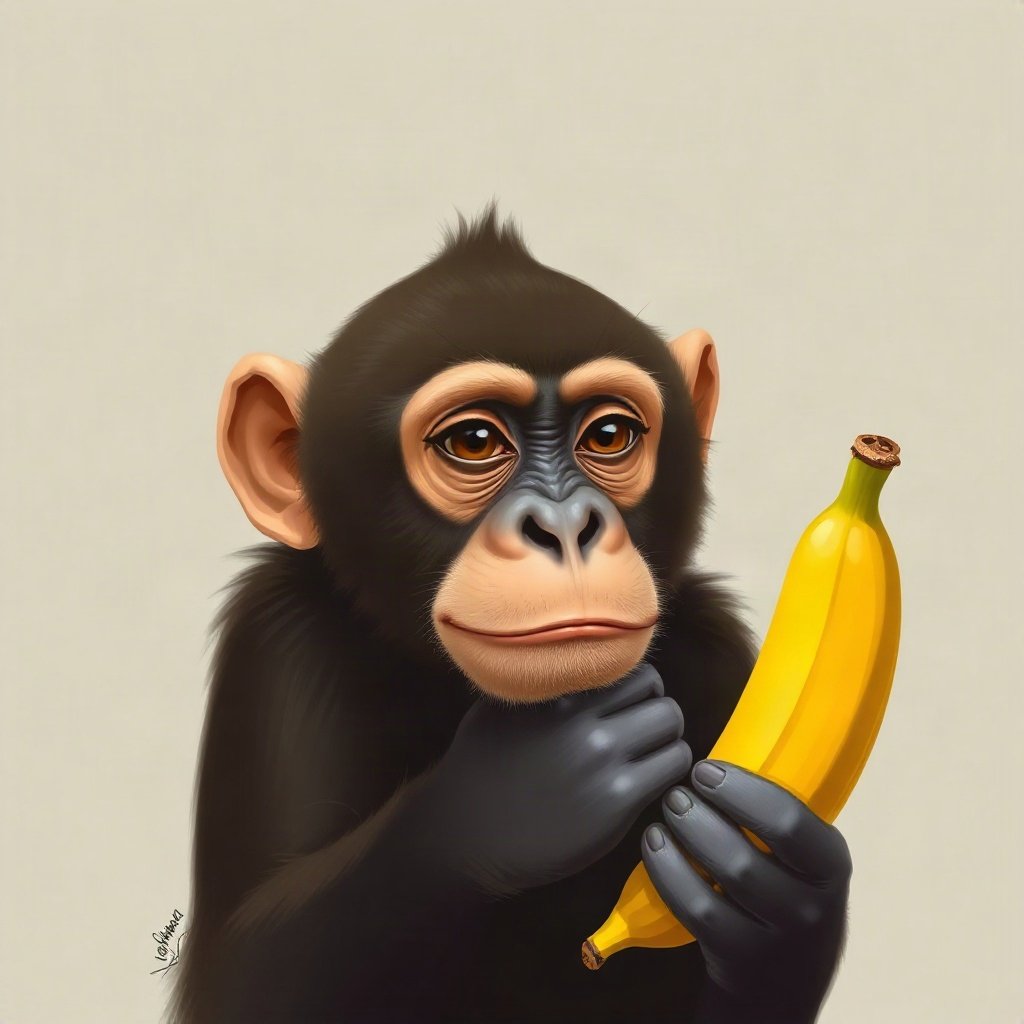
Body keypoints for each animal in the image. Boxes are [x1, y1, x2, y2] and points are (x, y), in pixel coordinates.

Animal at [170, 207, 851, 1024]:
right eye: (473, 441)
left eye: (609, 436)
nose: (564, 527)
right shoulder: (275, 641)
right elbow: (242, 979)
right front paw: (521, 790)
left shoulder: (722, 649)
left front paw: (778, 892)